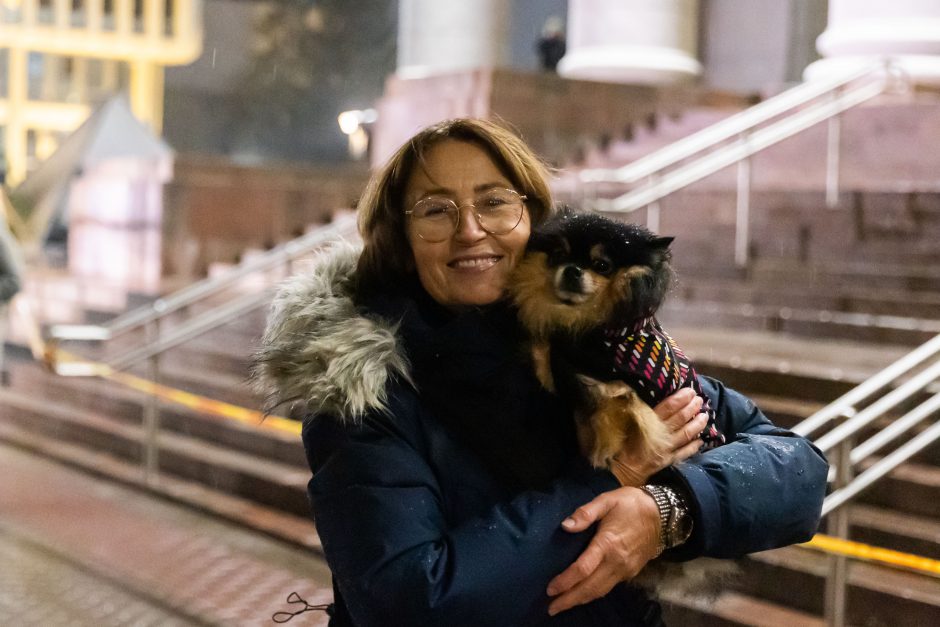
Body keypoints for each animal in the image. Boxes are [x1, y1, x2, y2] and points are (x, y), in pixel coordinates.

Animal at [510, 211, 724, 472]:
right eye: (559, 254)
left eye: (602, 265)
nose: (572, 270)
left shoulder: (634, 389)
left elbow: (612, 406)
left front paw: (602, 452)